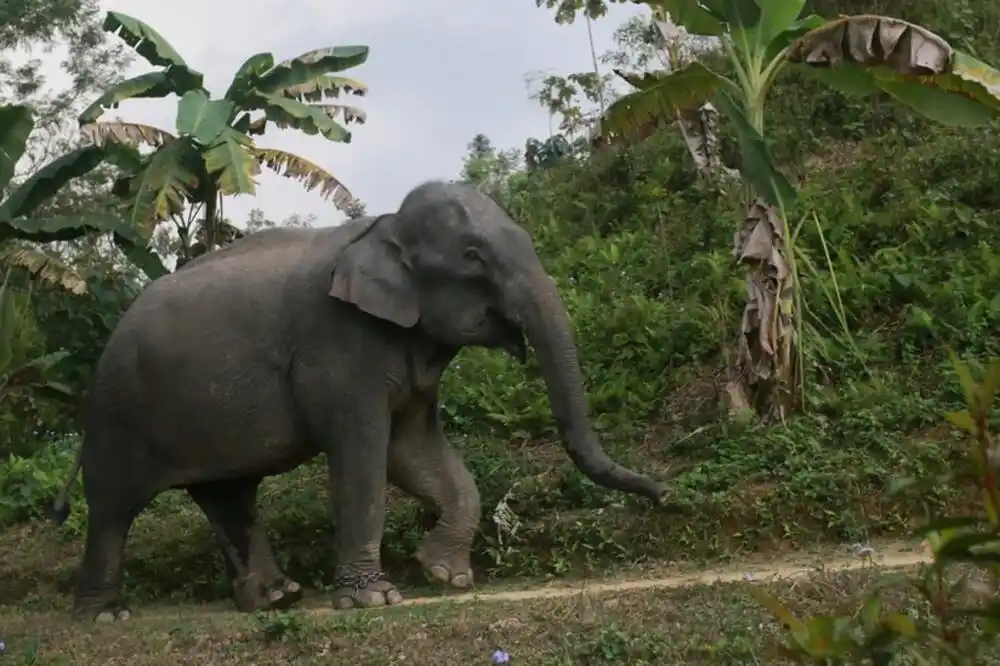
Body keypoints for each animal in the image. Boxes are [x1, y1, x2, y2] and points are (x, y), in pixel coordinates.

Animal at [48, 179, 664, 620]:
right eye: (473, 257)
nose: (663, 492)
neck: (382, 228)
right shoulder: (338, 346)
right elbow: (364, 454)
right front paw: (374, 600)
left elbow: (415, 453)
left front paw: (445, 576)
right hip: (119, 411)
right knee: (113, 506)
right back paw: (104, 617)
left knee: (227, 495)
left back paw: (277, 599)